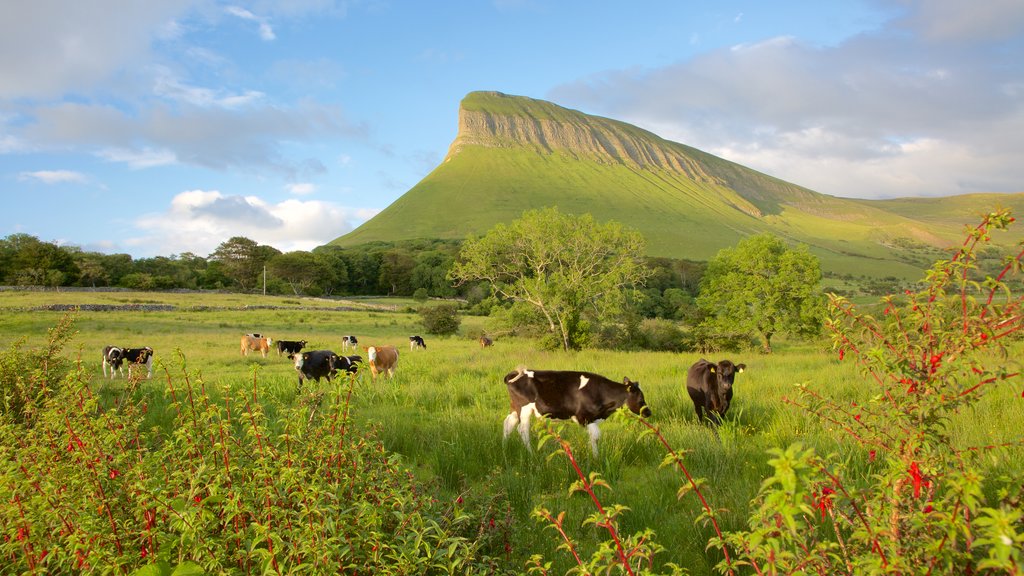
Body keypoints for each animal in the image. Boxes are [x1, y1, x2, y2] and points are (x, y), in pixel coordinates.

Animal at [499, 364, 651, 455]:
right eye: (640, 398)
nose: (648, 412)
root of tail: (515, 373)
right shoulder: (584, 417)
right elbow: (595, 437)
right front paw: (596, 458)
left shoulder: (593, 418)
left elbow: (594, 437)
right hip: (524, 408)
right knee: (522, 430)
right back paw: (531, 454)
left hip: (515, 408)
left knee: (508, 424)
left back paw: (504, 448)